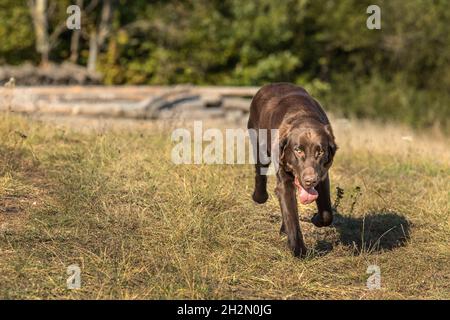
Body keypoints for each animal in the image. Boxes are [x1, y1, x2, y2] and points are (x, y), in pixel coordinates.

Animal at [246, 83, 338, 258]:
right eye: (298, 150)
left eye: (320, 152)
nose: (310, 180)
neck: (302, 115)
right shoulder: (285, 181)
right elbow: (291, 216)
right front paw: (299, 250)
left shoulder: (323, 177)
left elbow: (327, 214)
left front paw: (316, 218)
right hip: (259, 145)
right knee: (260, 174)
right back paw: (259, 196)